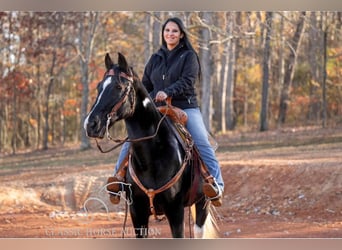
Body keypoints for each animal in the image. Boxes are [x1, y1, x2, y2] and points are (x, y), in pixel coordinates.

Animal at [83, 53, 216, 238]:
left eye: (119, 86)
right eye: (98, 87)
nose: (90, 124)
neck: (153, 157)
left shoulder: (175, 211)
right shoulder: (137, 211)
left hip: (204, 201)